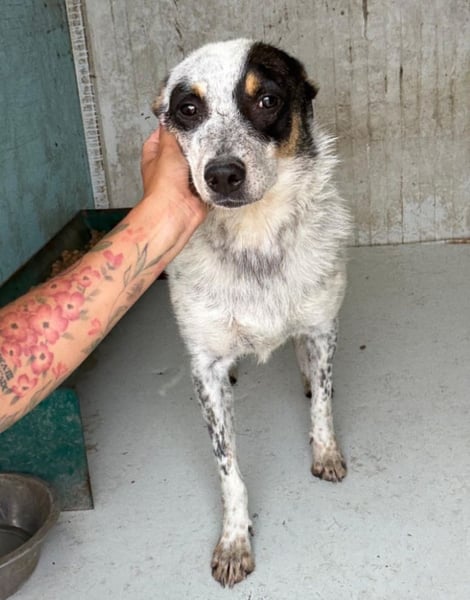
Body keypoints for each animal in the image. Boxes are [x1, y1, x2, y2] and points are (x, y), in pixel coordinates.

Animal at [153, 38, 352, 587]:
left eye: (266, 100)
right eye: (188, 109)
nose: (222, 174)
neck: (255, 236)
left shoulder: (322, 325)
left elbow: (323, 404)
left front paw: (325, 452)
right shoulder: (205, 366)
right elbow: (229, 469)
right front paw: (234, 541)